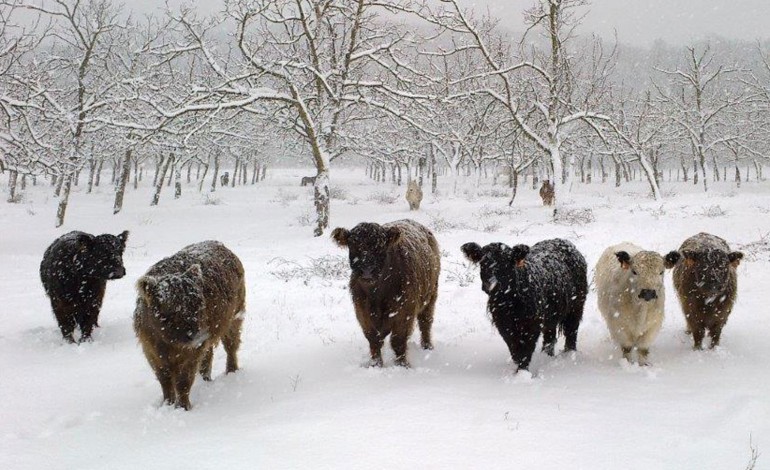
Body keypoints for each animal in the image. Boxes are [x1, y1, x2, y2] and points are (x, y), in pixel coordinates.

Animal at [134, 241, 244, 410]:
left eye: (199, 304)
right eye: (169, 311)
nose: (198, 335)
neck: (168, 343)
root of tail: (219, 244)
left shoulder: (191, 351)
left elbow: (183, 381)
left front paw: (183, 407)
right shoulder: (152, 351)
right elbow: (165, 380)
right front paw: (167, 404)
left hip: (234, 317)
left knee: (231, 346)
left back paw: (231, 372)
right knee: (208, 357)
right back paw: (206, 380)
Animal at [328, 219, 438, 368]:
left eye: (380, 247)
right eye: (353, 245)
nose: (367, 271)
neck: (376, 294)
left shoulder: (404, 312)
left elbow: (398, 340)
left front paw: (402, 364)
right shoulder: (362, 312)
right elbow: (373, 339)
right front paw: (376, 364)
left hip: (431, 296)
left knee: (425, 322)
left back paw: (427, 346)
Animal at [460, 239, 584, 370]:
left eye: (506, 262)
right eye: (483, 262)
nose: (491, 284)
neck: (508, 303)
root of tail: (562, 241)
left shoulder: (531, 324)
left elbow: (525, 350)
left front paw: (522, 370)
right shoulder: (503, 325)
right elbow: (513, 347)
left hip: (577, 306)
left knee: (571, 330)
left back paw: (569, 355)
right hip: (551, 314)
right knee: (550, 336)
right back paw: (547, 356)